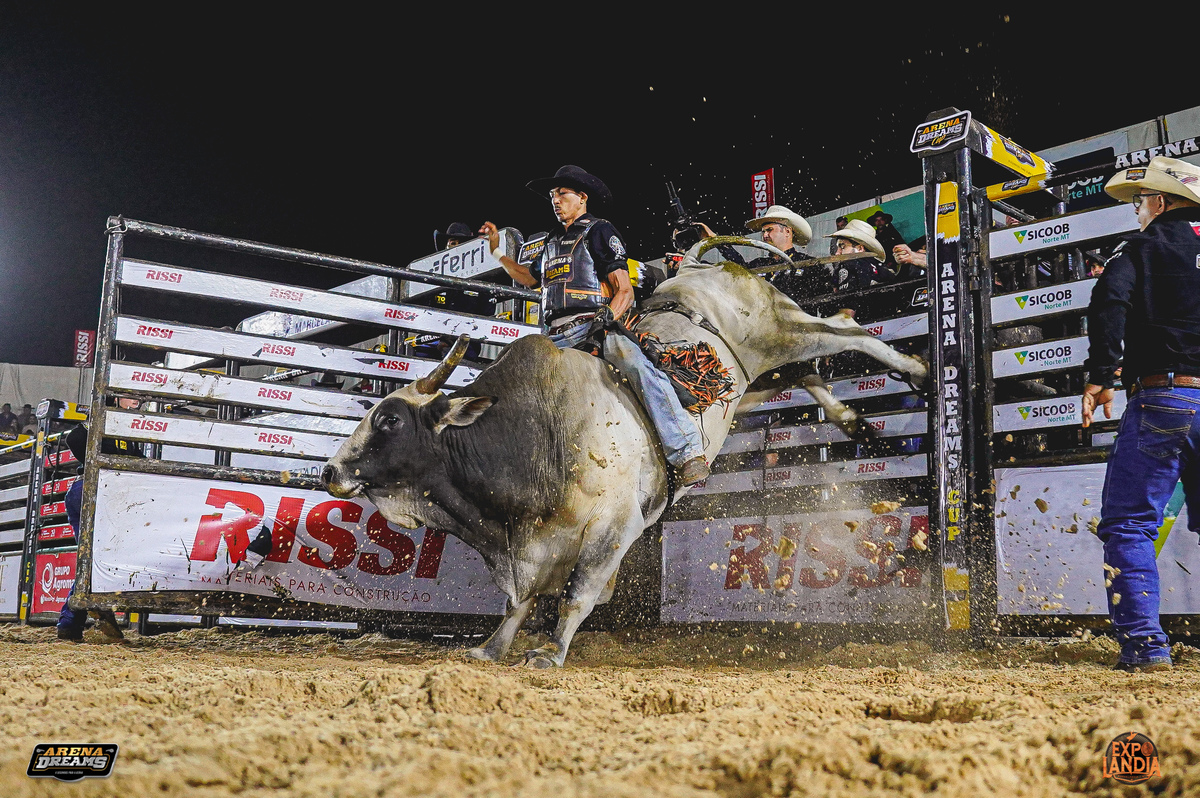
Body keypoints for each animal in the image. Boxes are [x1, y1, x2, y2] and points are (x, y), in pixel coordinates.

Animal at [322, 239, 927, 667]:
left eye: (390, 419)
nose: (330, 469)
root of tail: (702, 267)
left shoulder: (615, 525)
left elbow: (577, 593)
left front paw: (549, 653)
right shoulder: (534, 542)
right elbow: (522, 600)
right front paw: (491, 648)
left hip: (781, 328)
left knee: (846, 328)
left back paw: (917, 370)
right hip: (755, 376)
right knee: (808, 372)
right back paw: (854, 422)